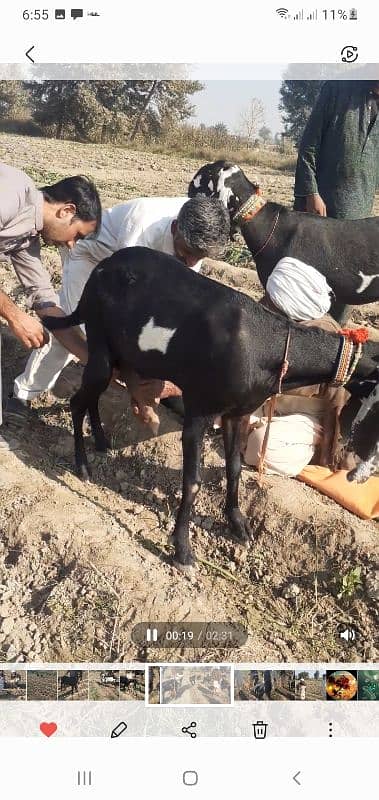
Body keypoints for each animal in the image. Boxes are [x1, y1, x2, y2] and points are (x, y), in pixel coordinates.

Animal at [44, 248, 379, 568]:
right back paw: (82, 465)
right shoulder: (198, 412)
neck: (265, 347)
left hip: (119, 354)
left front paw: (238, 523)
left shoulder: (238, 413)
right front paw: (182, 549)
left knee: (92, 397)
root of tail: (103, 267)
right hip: (100, 343)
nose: (354, 469)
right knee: (78, 401)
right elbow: (192, 481)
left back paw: (101, 442)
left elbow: (234, 468)